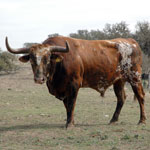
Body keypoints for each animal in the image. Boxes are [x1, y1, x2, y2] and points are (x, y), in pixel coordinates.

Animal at [5, 35, 146, 127]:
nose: (39, 78)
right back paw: (113, 120)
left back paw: (142, 120)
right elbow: (67, 105)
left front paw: (69, 124)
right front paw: (71, 121)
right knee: (121, 98)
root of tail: (131, 41)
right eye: (32, 59)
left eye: (47, 58)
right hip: (119, 80)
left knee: (140, 96)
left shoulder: (74, 85)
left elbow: (71, 104)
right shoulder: (62, 90)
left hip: (135, 77)